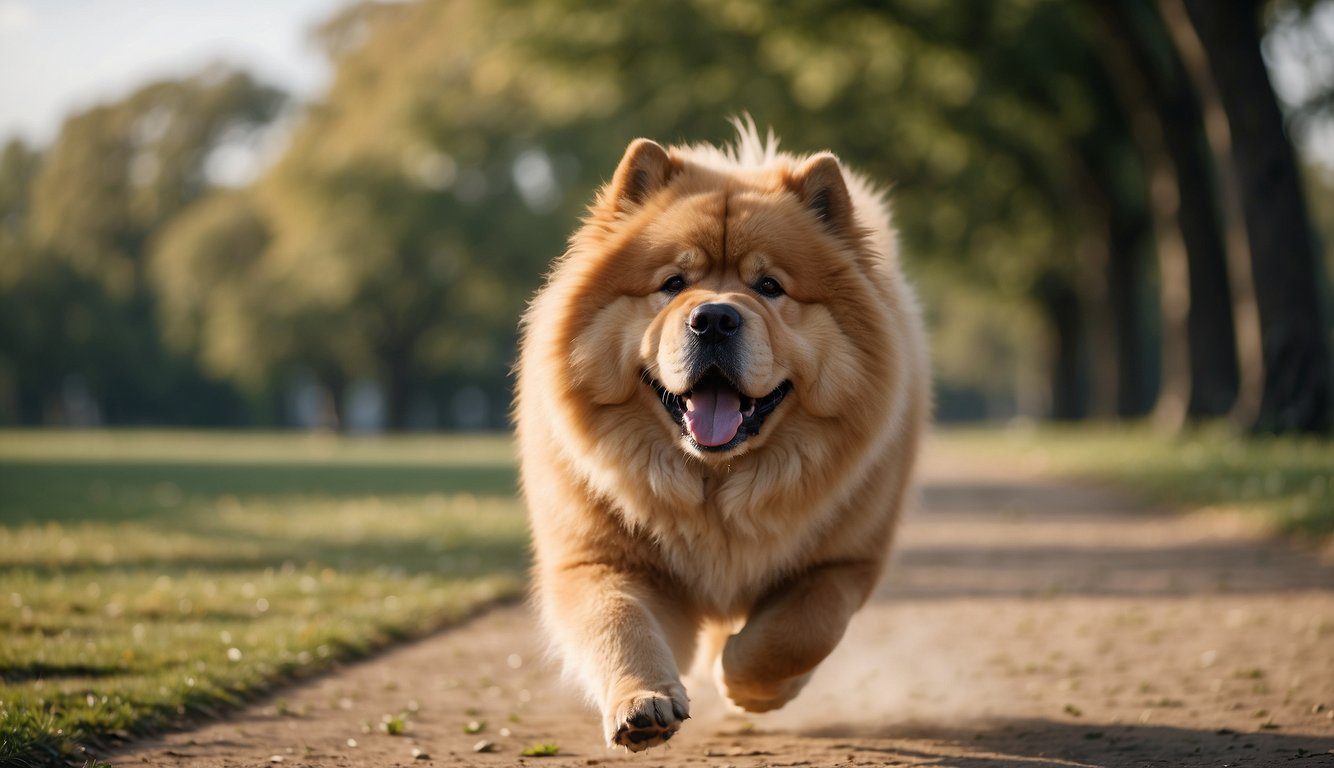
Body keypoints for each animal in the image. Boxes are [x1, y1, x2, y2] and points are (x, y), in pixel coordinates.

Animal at [512, 122, 928, 752]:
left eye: (770, 286)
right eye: (673, 283)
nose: (714, 317)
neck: (715, 486)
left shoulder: (846, 560)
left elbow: (802, 629)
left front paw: (745, 683)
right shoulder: (595, 557)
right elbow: (619, 622)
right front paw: (644, 702)